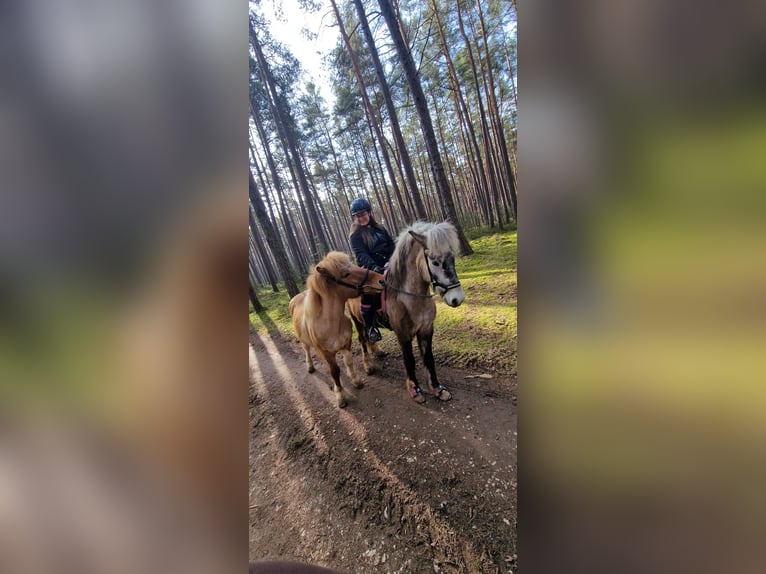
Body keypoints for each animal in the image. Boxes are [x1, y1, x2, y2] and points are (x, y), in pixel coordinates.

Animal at [289, 251, 385, 408]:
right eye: (345, 274)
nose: (381, 280)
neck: (331, 324)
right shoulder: (327, 353)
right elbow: (334, 371)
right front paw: (340, 396)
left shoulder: (346, 344)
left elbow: (349, 362)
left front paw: (356, 380)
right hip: (303, 340)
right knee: (306, 350)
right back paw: (310, 366)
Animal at [347, 221, 466, 403]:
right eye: (434, 262)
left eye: (452, 257)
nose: (456, 299)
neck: (409, 298)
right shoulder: (403, 334)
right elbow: (409, 360)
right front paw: (415, 389)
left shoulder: (426, 329)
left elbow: (428, 358)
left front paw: (437, 388)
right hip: (357, 320)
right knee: (362, 340)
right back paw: (368, 365)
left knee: (369, 337)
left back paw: (377, 351)